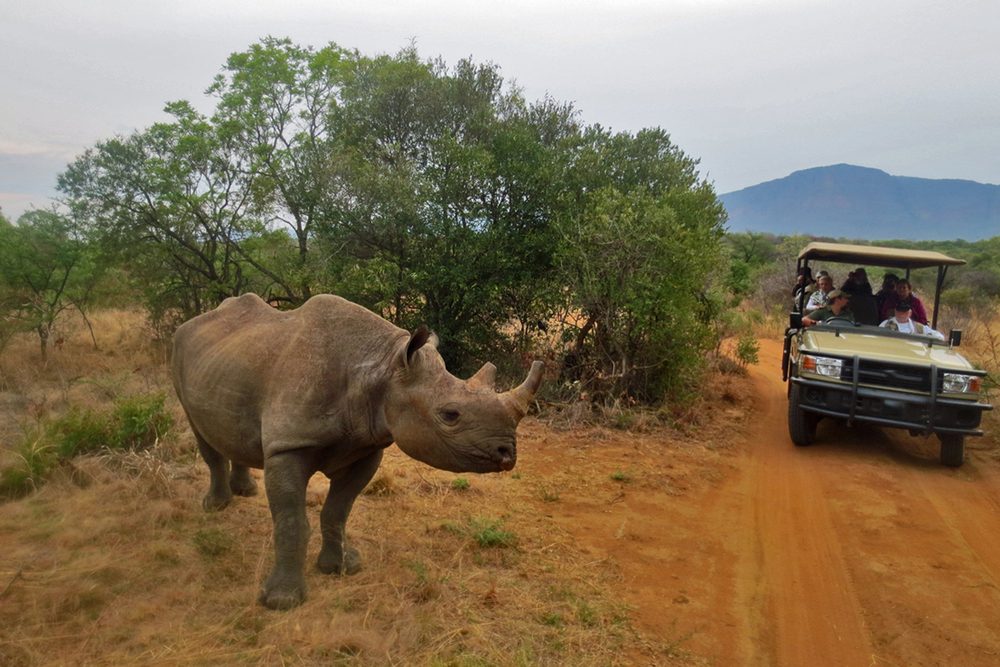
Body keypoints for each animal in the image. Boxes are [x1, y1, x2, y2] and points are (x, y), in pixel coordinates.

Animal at [171, 293, 543, 609]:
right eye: (450, 415)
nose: (507, 453)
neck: (383, 365)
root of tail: (193, 322)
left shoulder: (368, 445)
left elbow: (337, 510)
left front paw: (340, 568)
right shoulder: (289, 445)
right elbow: (291, 521)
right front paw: (282, 601)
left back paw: (244, 492)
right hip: (179, 353)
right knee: (200, 430)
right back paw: (216, 507)